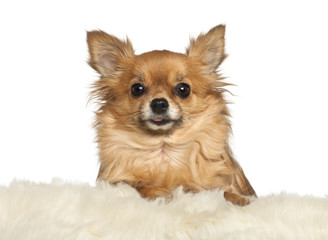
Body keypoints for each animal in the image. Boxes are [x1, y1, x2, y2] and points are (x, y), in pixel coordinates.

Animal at [86, 24, 256, 206]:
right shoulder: (116, 183)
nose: (159, 103)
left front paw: (240, 199)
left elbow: (221, 193)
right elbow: (137, 187)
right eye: (137, 89)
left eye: (183, 89)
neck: (164, 148)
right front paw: (160, 193)